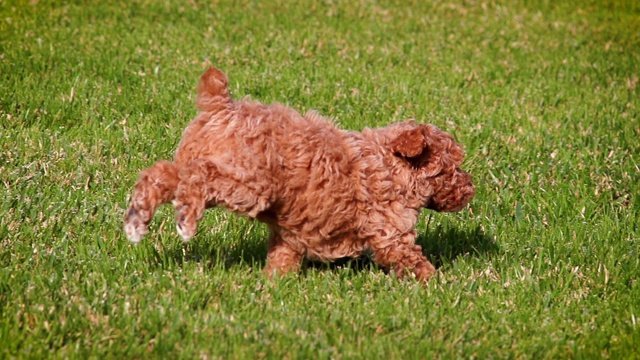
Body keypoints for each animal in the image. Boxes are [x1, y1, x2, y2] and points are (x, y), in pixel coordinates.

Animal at [125, 67, 476, 282]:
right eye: (452, 169)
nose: (471, 189)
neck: (390, 165)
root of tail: (222, 106)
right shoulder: (390, 231)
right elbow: (412, 259)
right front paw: (440, 284)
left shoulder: (290, 232)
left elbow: (283, 256)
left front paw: (274, 284)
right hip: (246, 184)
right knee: (196, 178)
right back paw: (184, 219)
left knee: (161, 174)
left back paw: (136, 219)